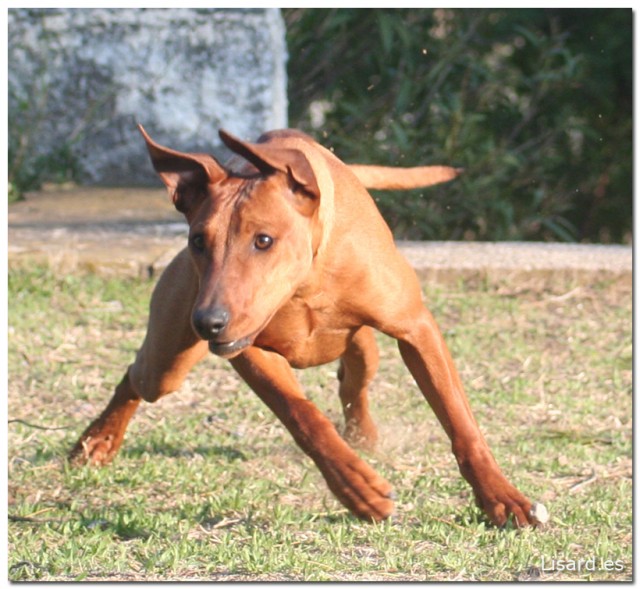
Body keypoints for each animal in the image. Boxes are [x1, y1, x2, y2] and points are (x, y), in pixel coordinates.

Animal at [69, 126, 544, 524]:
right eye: (198, 241)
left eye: (263, 240)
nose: (207, 323)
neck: (306, 280)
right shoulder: (247, 349)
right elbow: (303, 414)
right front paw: (356, 487)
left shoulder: (416, 329)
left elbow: (461, 423)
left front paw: (501, 498)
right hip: (168, 361)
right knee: (138, 377)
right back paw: (97, 441)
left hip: (362, 348)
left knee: (354, 381)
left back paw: (362, 433)